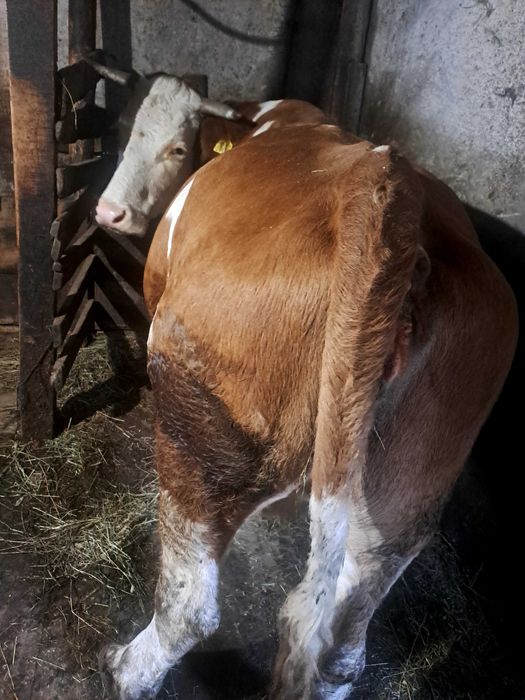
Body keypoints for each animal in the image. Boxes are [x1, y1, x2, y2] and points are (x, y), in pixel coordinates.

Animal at [96, 96, 518, 699]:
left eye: (174, 146)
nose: (109, 212)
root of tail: (388, 187)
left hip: (199, 429)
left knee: (191, 606)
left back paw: (123, 671)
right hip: (407, 496)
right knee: (339, 647)